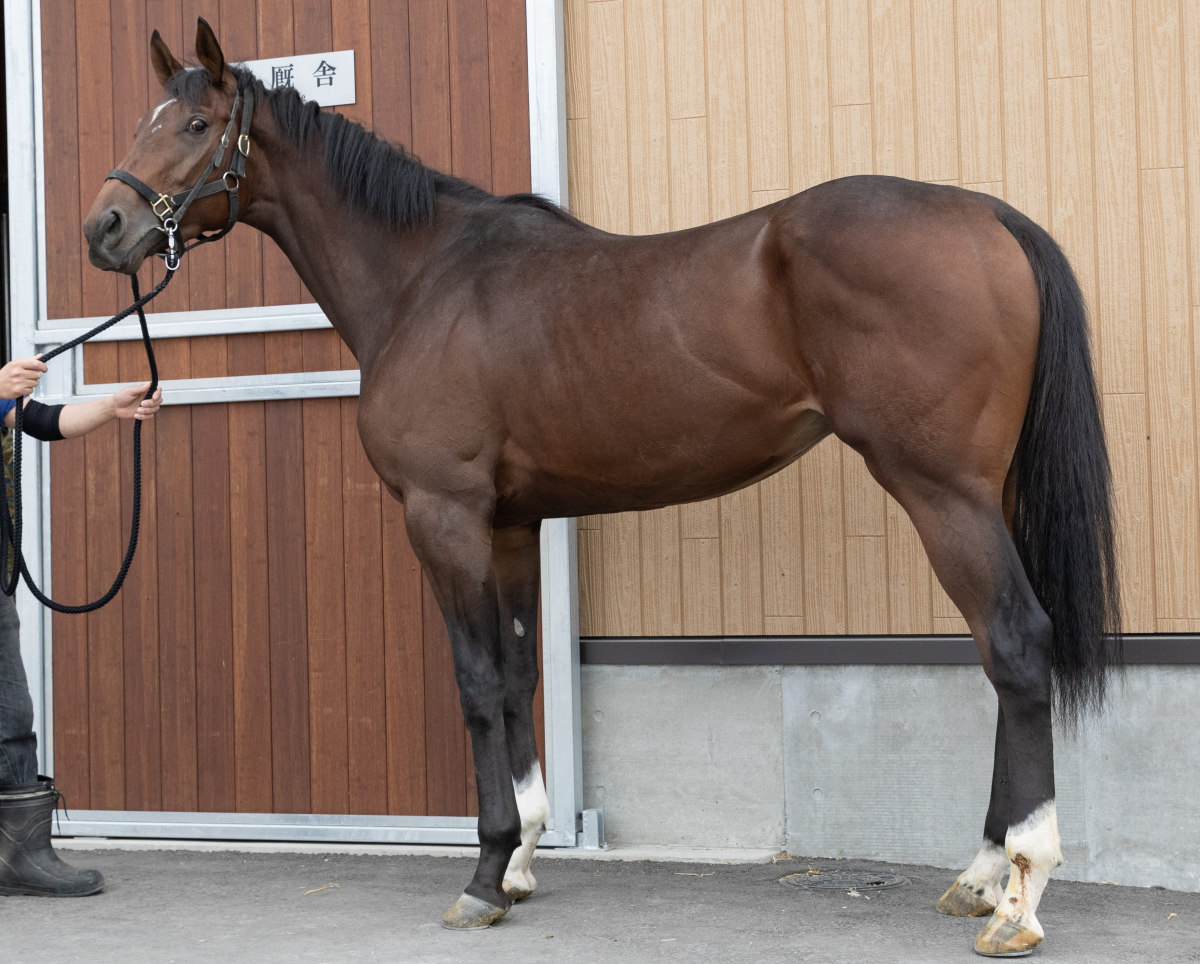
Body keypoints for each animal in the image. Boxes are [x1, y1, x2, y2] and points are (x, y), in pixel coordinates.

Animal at [83, 20, 1119, 957]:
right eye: (144, 118)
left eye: (193, 123)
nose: (104, 227)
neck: (426, 279)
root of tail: (987, 216)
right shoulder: (510, 525)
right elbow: (516, 678)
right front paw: (522, 860)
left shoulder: (445, 517)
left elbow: (475, 682)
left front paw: (482, 875)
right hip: (984, 495)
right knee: (1003, 654)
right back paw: (980, 877)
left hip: (942, 490)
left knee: (1015, 644)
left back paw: (1019, 896)